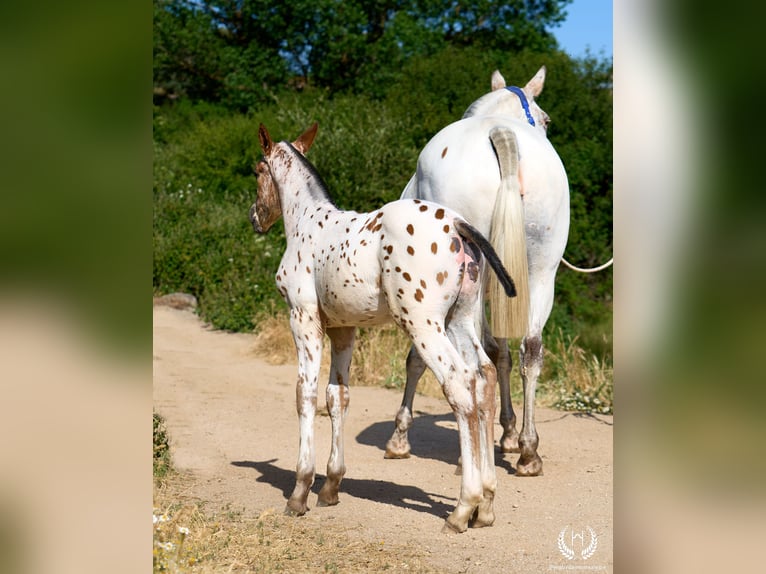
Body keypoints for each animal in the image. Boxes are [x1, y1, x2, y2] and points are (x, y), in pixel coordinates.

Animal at [249, 122, 519, 533]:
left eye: (257, 171)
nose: (255, 216)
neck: (308, 222)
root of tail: (458, 226)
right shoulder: (344, 328)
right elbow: (337, 396)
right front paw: (331, 487)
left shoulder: (303, 317)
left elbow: (305, 394)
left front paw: (300, 492)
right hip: (460, 319)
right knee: (483, 377)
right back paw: (485, 505)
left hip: (423, 323)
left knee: (459, 385)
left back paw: (462, 509)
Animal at [384, 66, 570, 477]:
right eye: (548, 119)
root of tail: (500, 133)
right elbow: (502, 353)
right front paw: (509, 436)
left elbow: (418, 359)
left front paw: (399, 438)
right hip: (541, 273)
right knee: (530, 350)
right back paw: (528, 453)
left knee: (475, 358)